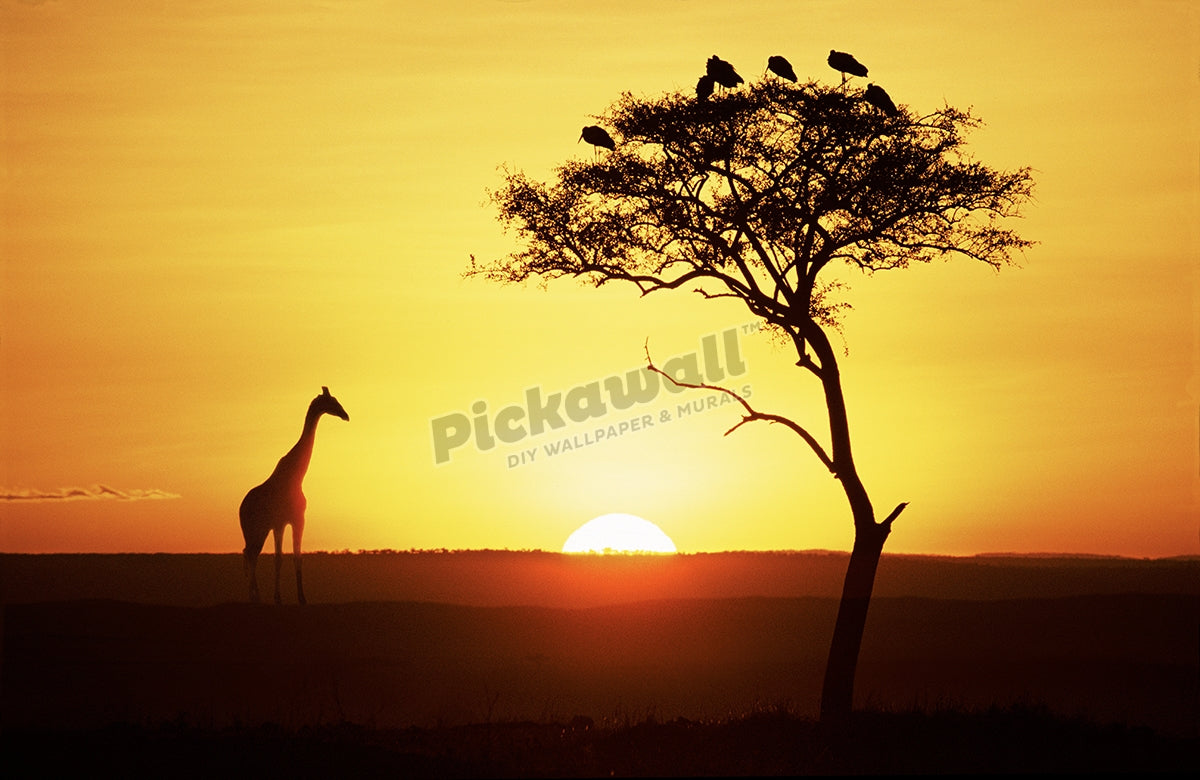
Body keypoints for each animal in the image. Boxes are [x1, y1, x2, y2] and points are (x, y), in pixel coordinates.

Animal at [239, 386, 349, 604]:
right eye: (333, 401)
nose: (346, 415)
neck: (296, 477)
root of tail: (240, 508)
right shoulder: (284, 522)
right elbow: (283, 558)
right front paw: (283, 598)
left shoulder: (292, 521)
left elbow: (292, 557)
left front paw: (296, 597)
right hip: (254, 528)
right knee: (250, 554)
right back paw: (254, 597)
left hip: (259, 529)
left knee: (250, 553)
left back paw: (255, 596)